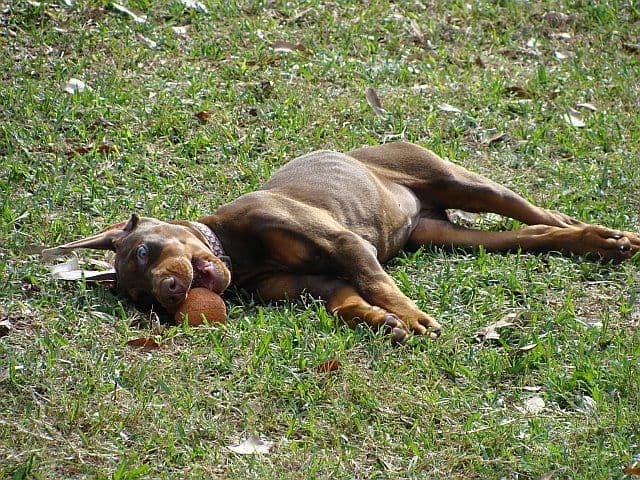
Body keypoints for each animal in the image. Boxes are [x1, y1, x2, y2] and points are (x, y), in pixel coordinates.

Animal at [48, 141, 640, 344]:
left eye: (144, 252)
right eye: (142, 300)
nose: (170, 293)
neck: (238, 252)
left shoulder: (345, 244)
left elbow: (378, 282)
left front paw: (413, 319)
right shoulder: (316, 281)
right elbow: (349, 301)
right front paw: (383, 323)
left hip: (455, 179)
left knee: (528, 209)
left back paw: (607, 235)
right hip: (447, 234)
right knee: (532, 235)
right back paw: (597, 243)